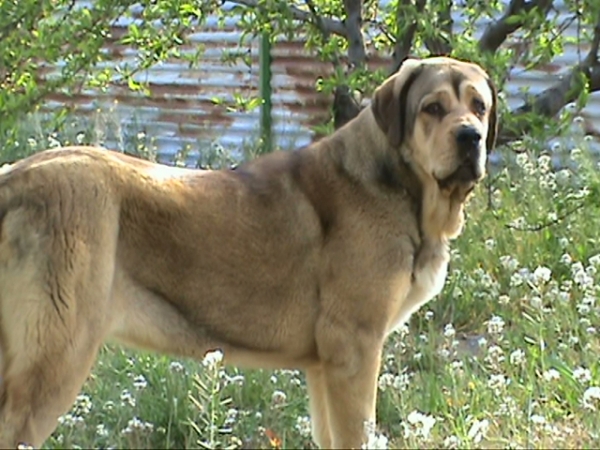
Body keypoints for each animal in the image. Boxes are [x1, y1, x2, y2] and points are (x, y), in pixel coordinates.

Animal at [0, 57, 496, 450]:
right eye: (433, 108)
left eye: (480, 107)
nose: (470, 136)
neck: (401, 182)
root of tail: (14, 178)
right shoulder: (353, 349)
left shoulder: (325, 367)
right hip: (55, 360)